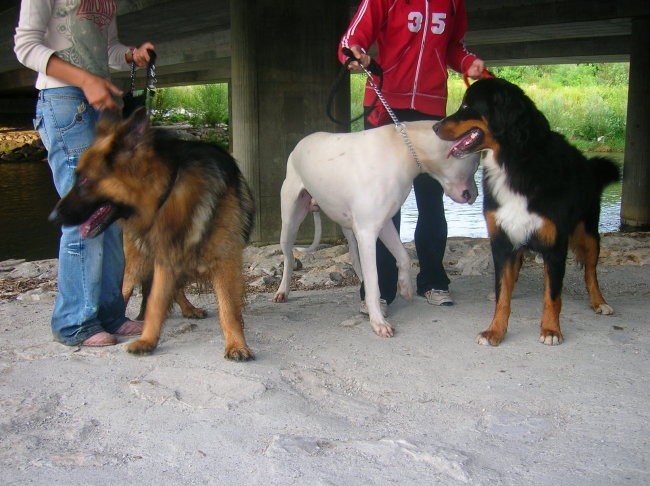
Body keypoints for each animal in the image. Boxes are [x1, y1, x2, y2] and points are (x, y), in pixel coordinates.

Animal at [48, 108, 253, 358]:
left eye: (85, 179)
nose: (53, 217)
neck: (168, 193)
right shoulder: (165, 257)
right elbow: (156, 301)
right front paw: (148, 340)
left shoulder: (224, 259)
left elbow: (228, 308)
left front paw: (236, 344)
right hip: (139, 260)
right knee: (127, 288)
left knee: (175, 288)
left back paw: (188, 309)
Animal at [270, 119, 478, 336]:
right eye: (476, 164)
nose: (475, 195)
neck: (403, 148)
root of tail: (300, 143)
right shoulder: (368, 233)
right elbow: (374, 282)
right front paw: (378, 320)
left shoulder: (384, 224)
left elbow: (403, 257)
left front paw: (405, 287)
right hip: (290, 222)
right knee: (289, 257)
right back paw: (282, 291)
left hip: (348, 228)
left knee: (355, 259)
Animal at [432, 79, 616, 346]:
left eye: (467, 106)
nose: (435, 127)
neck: (513, 161)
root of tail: (588, 163)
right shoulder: (501, 238)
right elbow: (503, 294)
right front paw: (495, 330)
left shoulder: (554, 245)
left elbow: (552, 296)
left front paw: (551, 330)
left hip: (588, 233)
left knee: (591, 272)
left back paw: (599, 302)